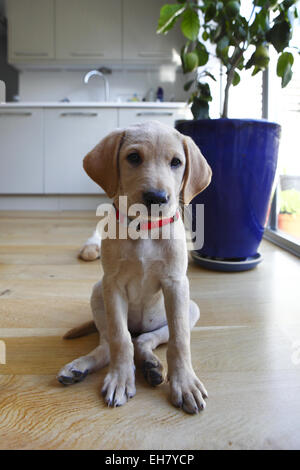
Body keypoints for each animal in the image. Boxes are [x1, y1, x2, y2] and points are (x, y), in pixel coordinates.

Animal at [56, 121, 211, 414]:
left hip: (191, 308)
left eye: (176, 162)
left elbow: (179, 340)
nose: (157, 197)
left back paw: (151, 365)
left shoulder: (176, 284)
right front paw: (120, 378)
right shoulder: (112, 285)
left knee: (145, 339)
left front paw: (184, 382)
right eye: (134, 157)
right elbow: (120, 339)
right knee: (111, 343)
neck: (144, 228)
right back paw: (79, 367)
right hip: (97, 292)